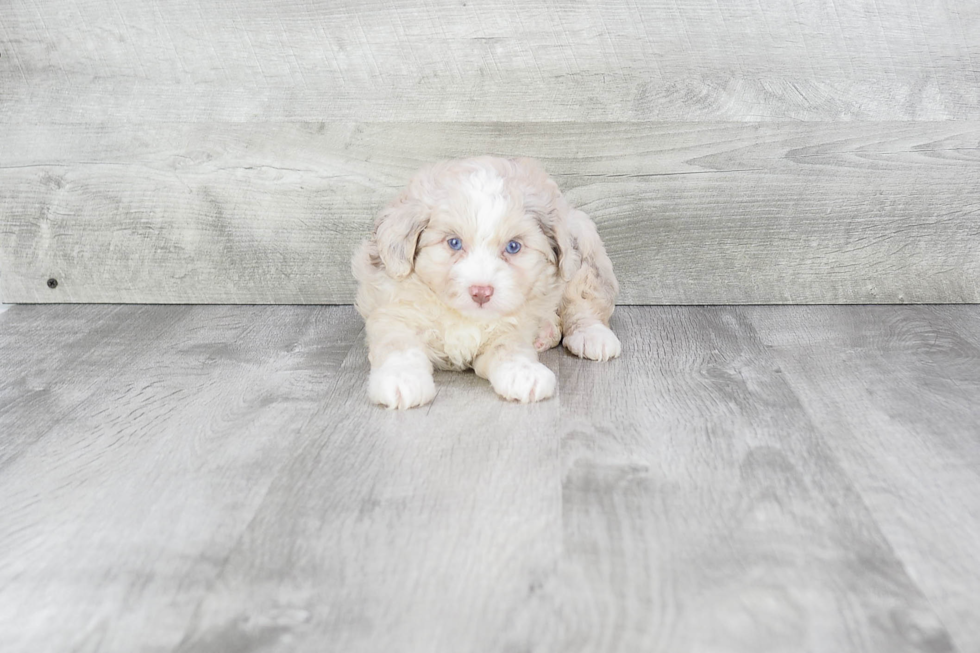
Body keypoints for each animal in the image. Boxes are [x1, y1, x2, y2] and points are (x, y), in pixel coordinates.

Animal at [352, 155, 620, 408]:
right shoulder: (394, 311)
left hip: (582, 250)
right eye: (454, 243)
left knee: (582, 300)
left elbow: (509, 347)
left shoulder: (513, 326)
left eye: (513, 247)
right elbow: (398, 344)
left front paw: (524, 373)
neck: (464, 316)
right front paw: (401, 379)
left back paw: (593, 336)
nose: (481, 292)